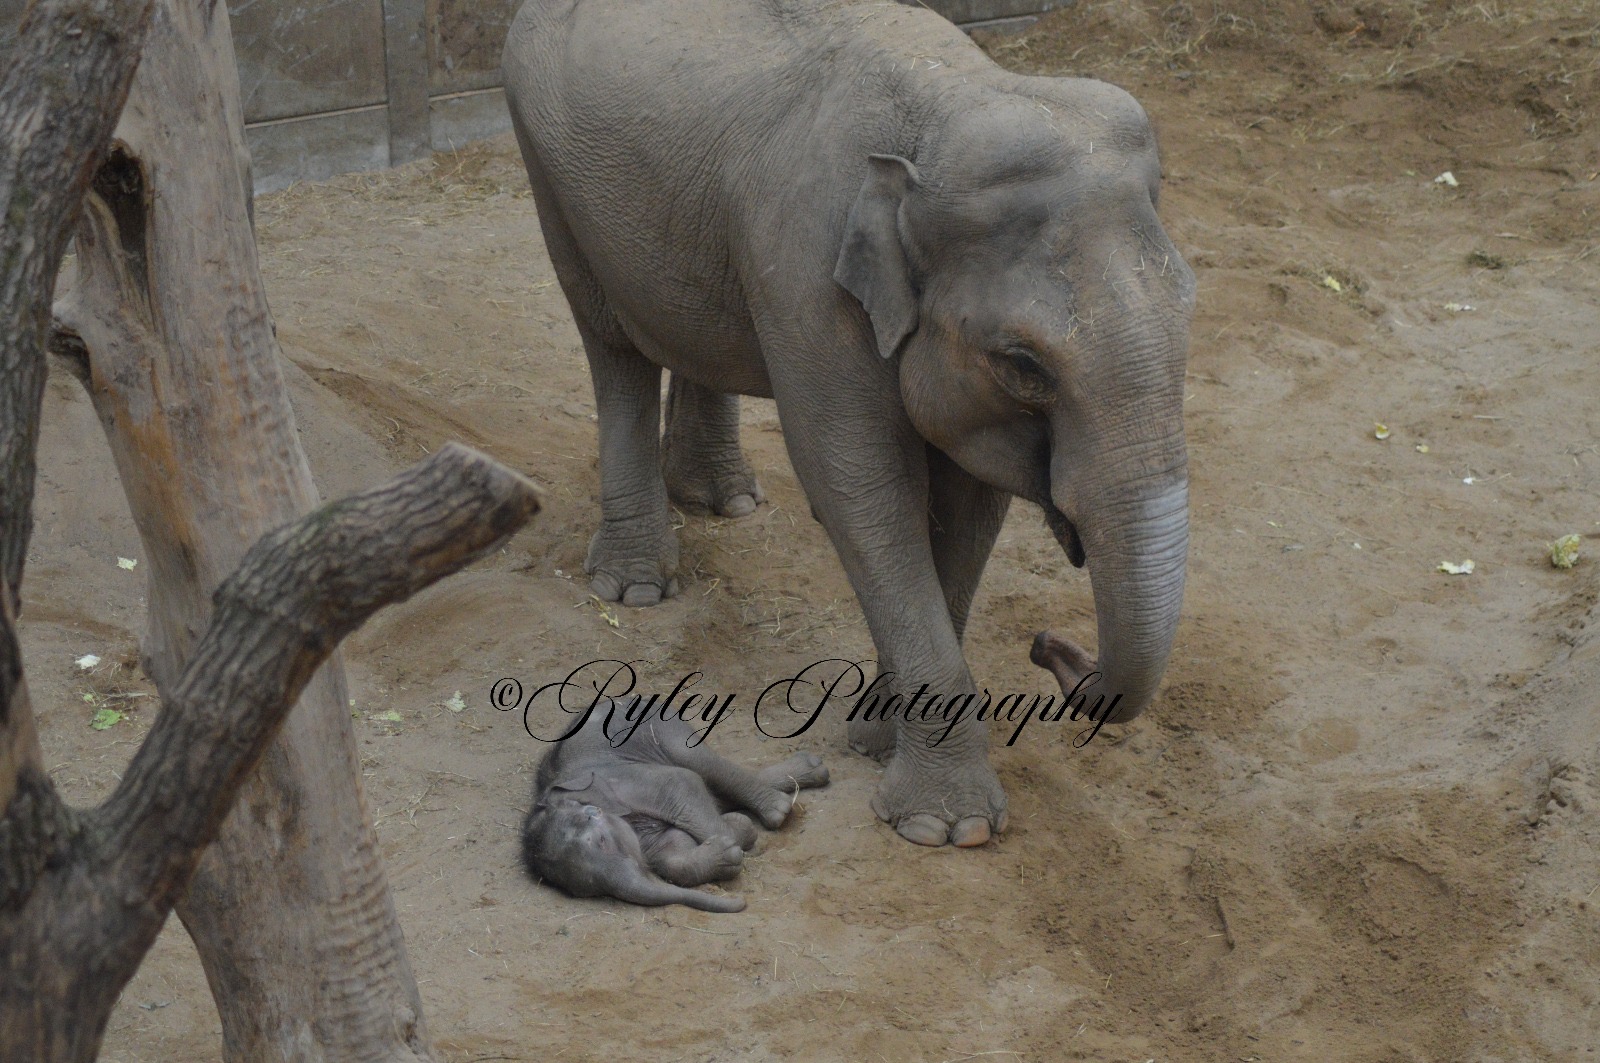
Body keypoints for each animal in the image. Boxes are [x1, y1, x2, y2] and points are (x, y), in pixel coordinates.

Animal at [502, 0, 1195, 848]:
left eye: (1191, 312)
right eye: (1025, 364)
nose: (1047, 645)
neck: (949, 104)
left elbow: (967, 506)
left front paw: (873, 734)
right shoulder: (807, 274)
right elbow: (860, 487)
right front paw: (947, 828)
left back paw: (725, 500)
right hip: (550, 171)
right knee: (613, 346)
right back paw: (634, 586)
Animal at [520, 700, 829, 912]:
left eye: (602, 841)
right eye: (581, 891)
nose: (741, 903)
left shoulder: (622, 778)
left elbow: (681, 783)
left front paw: (740, 836)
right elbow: (672, 850)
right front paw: (731, 847)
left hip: (661, 726)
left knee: (698, 762)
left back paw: (779, 810)